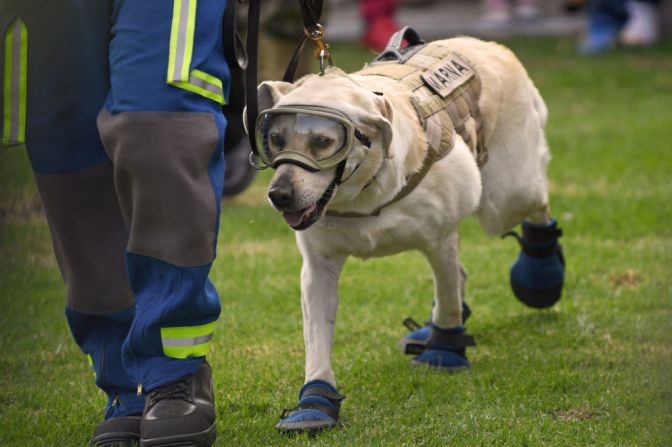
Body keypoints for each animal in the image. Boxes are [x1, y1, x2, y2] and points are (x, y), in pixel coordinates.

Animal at [251, 30, 560, 434]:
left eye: (322, 142)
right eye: (275, 138)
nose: (279, 195)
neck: (366, 193)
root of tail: (491, 45)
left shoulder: (440, 240)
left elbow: (448, 299)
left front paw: (445, 349)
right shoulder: (318, 268)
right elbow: (317, 338)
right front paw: (315, 402)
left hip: (507, 195)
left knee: (534, 208)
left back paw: (541, 276)